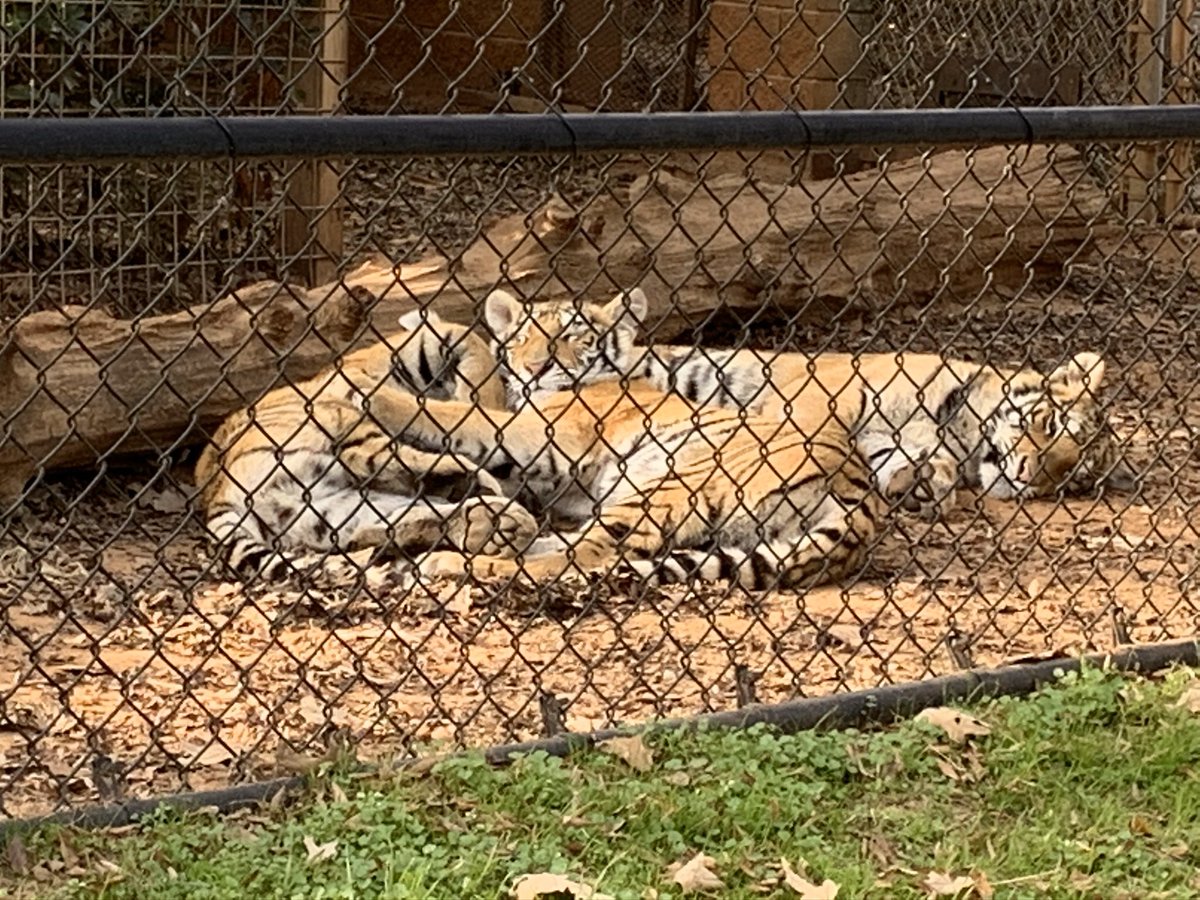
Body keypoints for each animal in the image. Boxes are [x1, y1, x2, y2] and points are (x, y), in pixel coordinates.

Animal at [194, 308, 538, 580]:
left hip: (334, 511)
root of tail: (218, 498)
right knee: (399, 466)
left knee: (393, 524)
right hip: (343, 427)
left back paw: (494, 522)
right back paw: (483, 489)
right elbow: (475, 359)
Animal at [395, 287, 882, 591]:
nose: (533, 368)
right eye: (523, 337)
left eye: (571, 335)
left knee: (573, 559)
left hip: (666, 486)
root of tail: (864, 503)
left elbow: (465, 419)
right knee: (565, 548)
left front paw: (381, 403)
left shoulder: (551, 435)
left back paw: (443, 563)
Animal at [632, 342, 1136, 518]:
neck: (963, 433)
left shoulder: (889, 439)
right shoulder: (826, 399)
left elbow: (902, 461)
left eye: (1070, 479)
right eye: (1049, 424)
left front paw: (923, 488)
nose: (1027, 475)